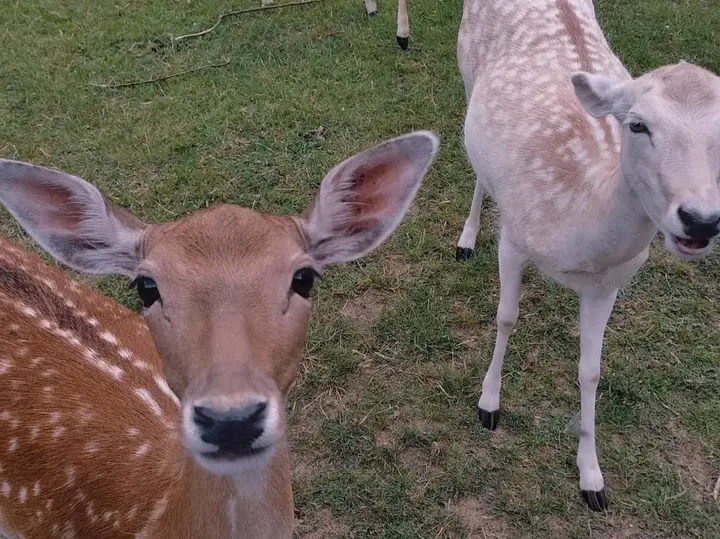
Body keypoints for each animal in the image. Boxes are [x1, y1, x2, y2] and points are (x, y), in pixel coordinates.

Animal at [458, 0, 720, 510]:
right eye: (637, 124)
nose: (701, 220)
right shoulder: (514, 238)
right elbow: (506, 317)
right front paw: (488, 404)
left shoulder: (609, 283)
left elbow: (591, 371)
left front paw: (592, 478)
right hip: (465, 70)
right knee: (474, 159)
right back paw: (467, 236)